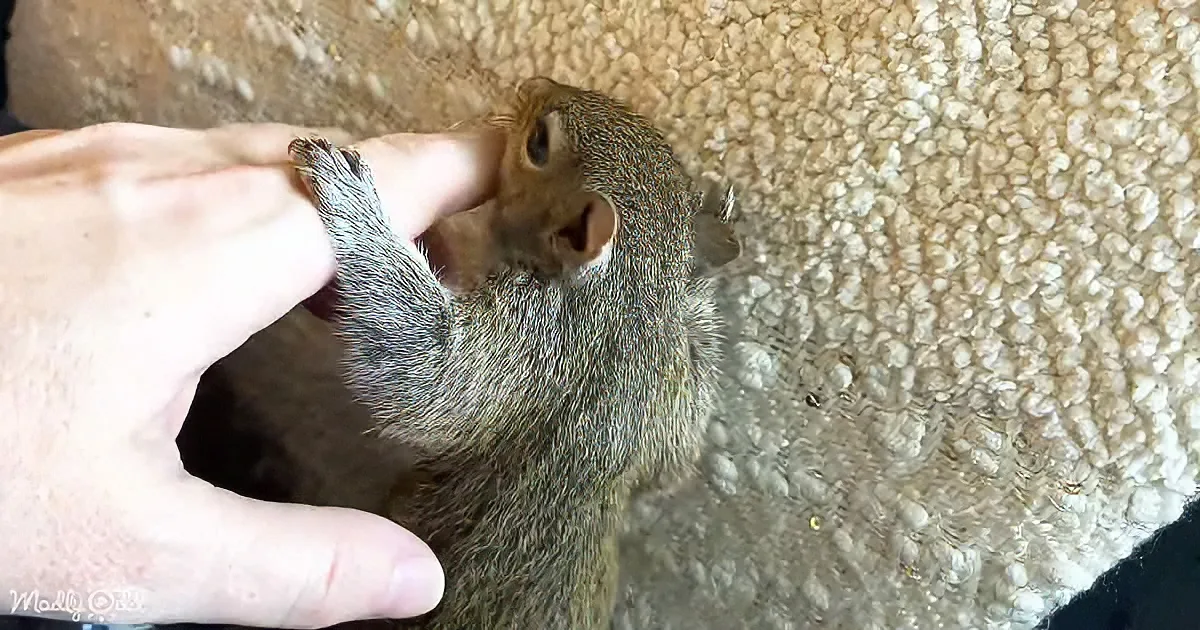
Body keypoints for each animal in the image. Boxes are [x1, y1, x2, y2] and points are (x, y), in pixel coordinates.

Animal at [286, 76, 742, 630]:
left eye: (538, 145)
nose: (532, 83)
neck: (632, 302)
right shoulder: (676, 399)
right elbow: (673, 466)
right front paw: (711, 241)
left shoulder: (538, 339)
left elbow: (428, 379)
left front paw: (349, 193)